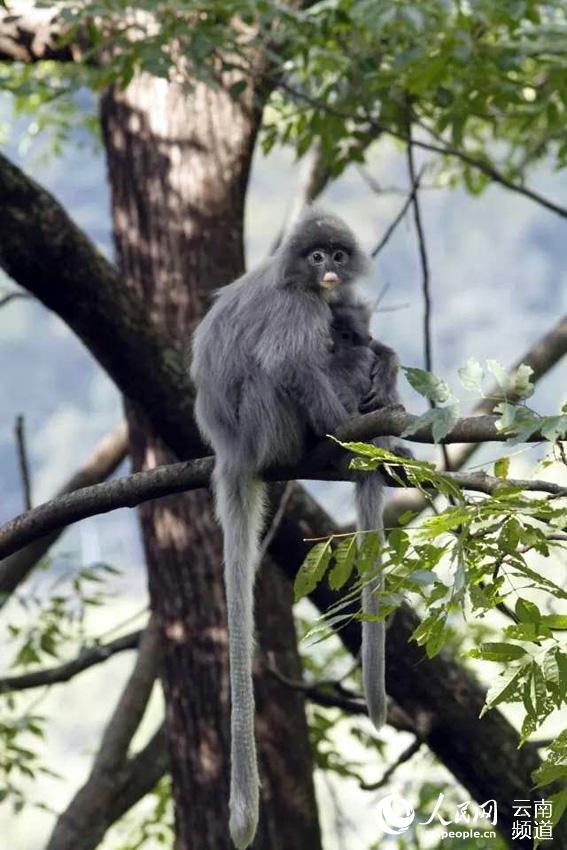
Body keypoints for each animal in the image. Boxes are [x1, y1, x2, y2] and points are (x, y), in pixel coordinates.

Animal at [191, 208, 404, 849]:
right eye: (315, 257)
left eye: (336, 253)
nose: (329, 268)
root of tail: (232, 449)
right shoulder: (301, 309)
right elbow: (290, 364)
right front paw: (350, 427)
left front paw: (385, 363)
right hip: (272, 425)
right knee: (288, 374)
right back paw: (343, 442)